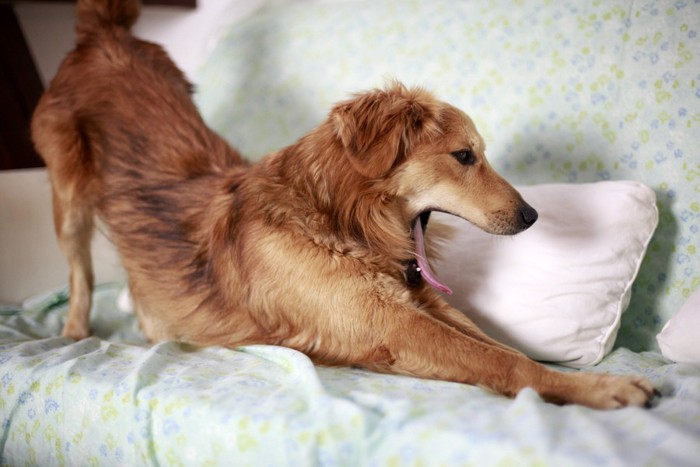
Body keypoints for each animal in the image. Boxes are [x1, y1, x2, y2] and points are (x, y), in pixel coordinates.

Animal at [31, 0, 656, 410]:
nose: (531, 216)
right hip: (67, 195)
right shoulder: (393, 326)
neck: (341, 220)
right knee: (81, 272)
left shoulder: (423, 305)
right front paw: (601, 388)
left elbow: (497, 344)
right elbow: (505, 360)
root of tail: (104, 34)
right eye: (464, 156)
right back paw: (72, 331)